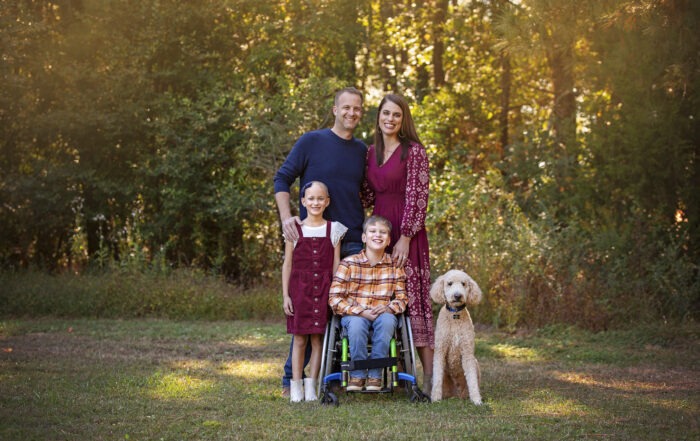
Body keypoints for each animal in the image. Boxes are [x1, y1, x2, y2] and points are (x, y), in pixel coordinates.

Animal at [430, 266, 484, 404]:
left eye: (463, 284)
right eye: (449, 283)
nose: (457, 295)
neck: (455, 316)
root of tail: (456, 394)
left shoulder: (467, 352)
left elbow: (472, 380)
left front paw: (476, 400)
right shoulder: (440, 351)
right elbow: (437, 378)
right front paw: (435, 398)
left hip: (476, 363)